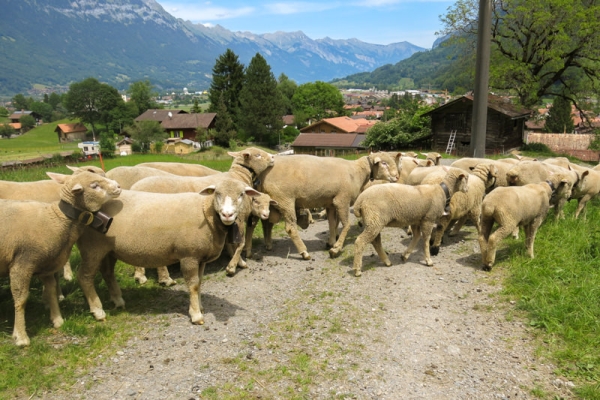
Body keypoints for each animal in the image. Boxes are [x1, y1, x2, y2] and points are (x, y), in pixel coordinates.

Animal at [0, 170, 122, 346]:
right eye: (94, 186)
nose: (119, 186)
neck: (55, 220)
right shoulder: (21, 263)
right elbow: (21, 299)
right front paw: (21, 336)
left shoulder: (47, 266)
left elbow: (51, 290)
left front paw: (57, 320)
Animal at [74, 178, 258, 324]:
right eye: (217, 193)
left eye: (241, 194)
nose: (227, 215)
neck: (206, 212)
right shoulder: (189, 256)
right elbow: (193, 285)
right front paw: (196, 315)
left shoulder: (200, 258)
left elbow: (199, 283)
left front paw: (199, 306)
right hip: (92, 247)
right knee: (84, 277)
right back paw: (98, 311)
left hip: (109, 250)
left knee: (107, 272)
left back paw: (118, 301)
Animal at [256, 152, 398, 260]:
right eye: (384, 163)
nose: (397, 176)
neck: (357, 171)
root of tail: (262, 175)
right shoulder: (342, 200)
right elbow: (345, 224)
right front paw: (336, 248)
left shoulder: (330, 203)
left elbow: (331, 223)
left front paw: (331, 242)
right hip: (285, 199)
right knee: (290, 228)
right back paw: (304, 253)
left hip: (272, 202)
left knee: (267, 223)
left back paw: (268, 245)